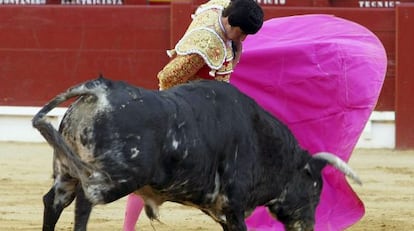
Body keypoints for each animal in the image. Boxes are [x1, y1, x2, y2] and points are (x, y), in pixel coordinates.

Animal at [33, 77, 362, 231]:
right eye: (315, 189)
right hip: (116, 178)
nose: (309, 225)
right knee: (86, 200)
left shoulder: (221, 210)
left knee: (54, 201)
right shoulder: (234, 204)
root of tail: (97, 90)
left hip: (66, 173)